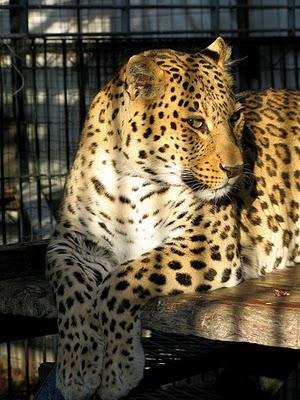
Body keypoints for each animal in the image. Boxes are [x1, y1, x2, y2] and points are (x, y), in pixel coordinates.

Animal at [45, 38, 298, 400]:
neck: (131, 183)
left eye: (235, 116)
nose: (236, 169)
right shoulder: (70, 242)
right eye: (196, 123)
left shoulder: (207, 243)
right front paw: (77, 368)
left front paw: (118, 368)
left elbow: (120, 282)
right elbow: (72, 288)